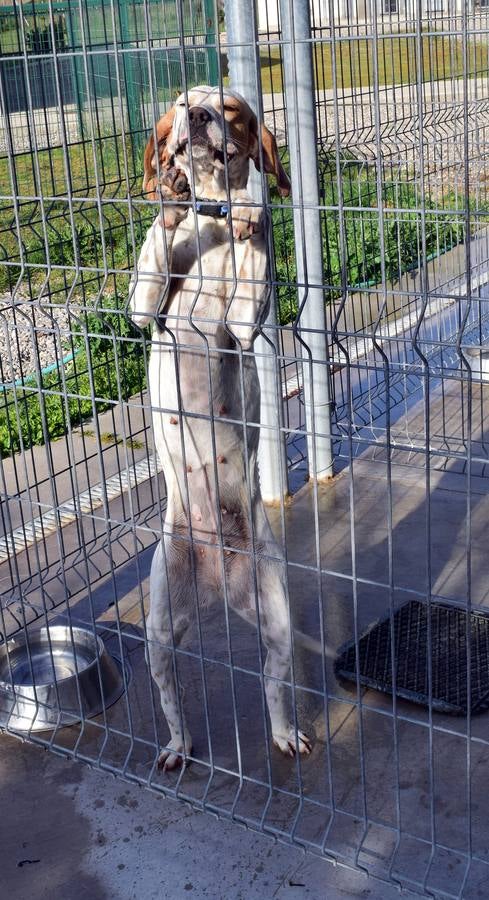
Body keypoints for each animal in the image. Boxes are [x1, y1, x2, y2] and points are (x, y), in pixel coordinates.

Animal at [130, 86, 320, 772]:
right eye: (181, 104)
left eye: (232, 107)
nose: (199, 117)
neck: (210, 229)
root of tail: (215, 582)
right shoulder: (143, 310)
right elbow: (151, 268)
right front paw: (169, 201)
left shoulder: (241, 324)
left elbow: (252, 256)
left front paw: (251, 213)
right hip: (161, 625)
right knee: (172, 696)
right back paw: (176, 746)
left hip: (275, 616)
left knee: (274, 685)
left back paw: (285, 734)